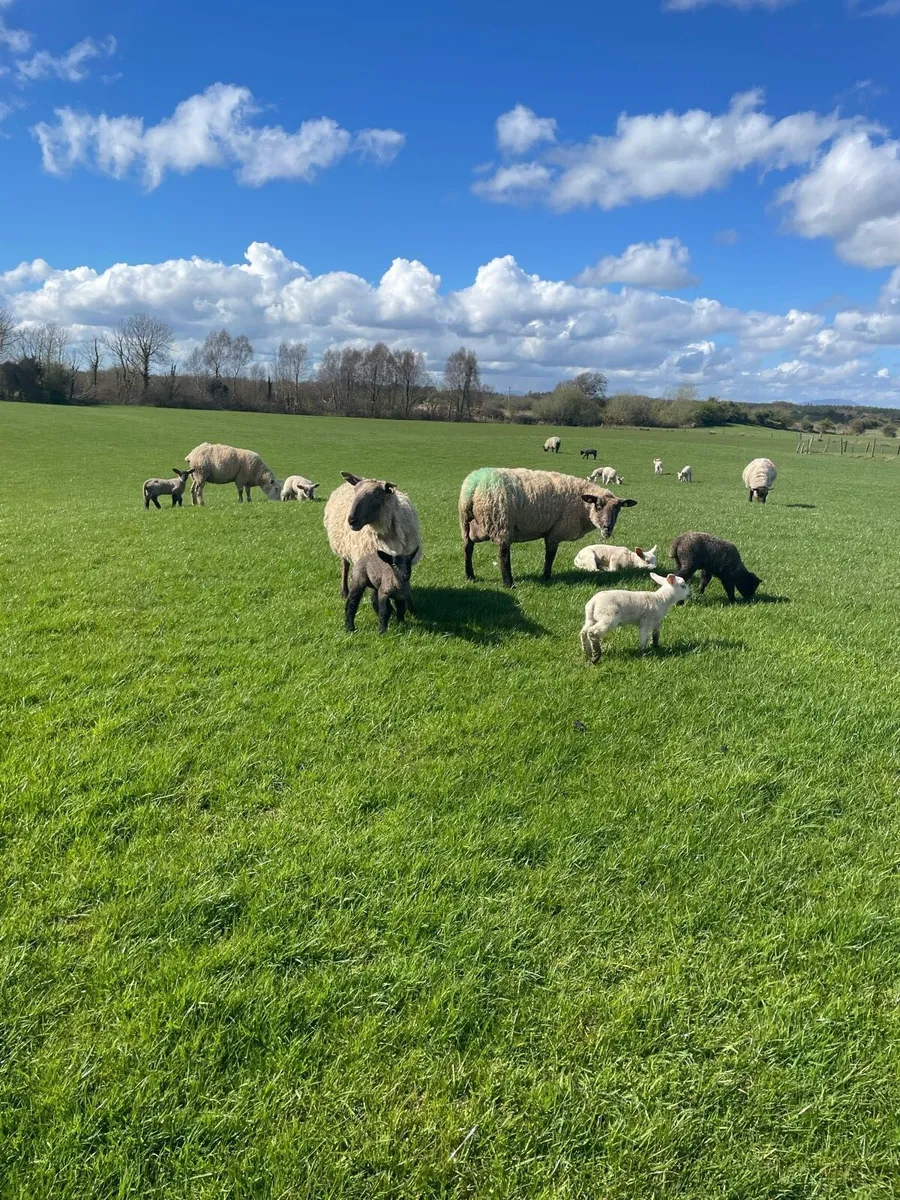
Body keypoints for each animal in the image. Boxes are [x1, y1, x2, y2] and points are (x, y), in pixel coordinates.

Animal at [459, 467, 637, 588]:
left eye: (618, 509)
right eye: (598, 506)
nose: (608, 528)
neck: (582, 506)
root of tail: (474, 486)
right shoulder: (555, 532)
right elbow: (550, 556)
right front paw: (546, 577)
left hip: (466, 523)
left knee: (468, 548)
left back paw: (470, 576)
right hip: (501, 522)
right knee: (503, 556)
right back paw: (509, 583)